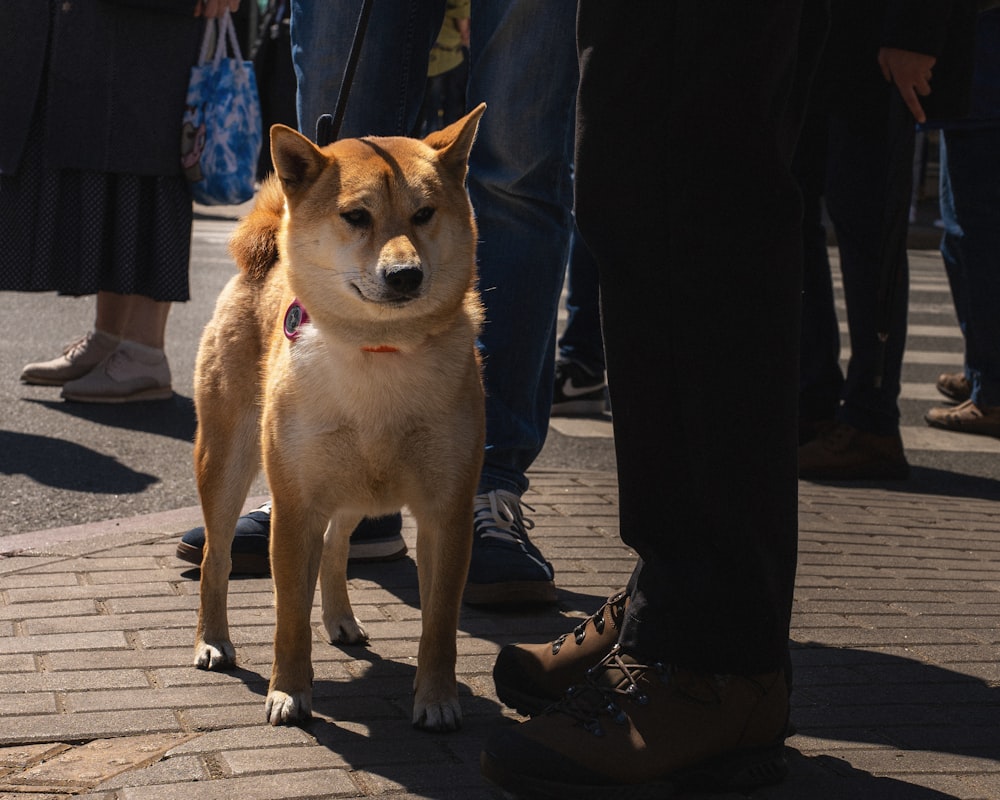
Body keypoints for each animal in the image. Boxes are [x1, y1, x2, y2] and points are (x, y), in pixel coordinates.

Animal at [192, 104, 488, 732]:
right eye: (357, 216)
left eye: (424, 214)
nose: (406, 274)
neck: (379, 354)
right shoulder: (295, 504)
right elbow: (287, 618)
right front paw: (288, 691)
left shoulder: (446, 511)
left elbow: (440, 625)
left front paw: (437, 697)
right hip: (228, 462)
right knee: (216, 556)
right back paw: (213, 639)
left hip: (354, 489)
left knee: (335, 548)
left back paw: (340, 620)